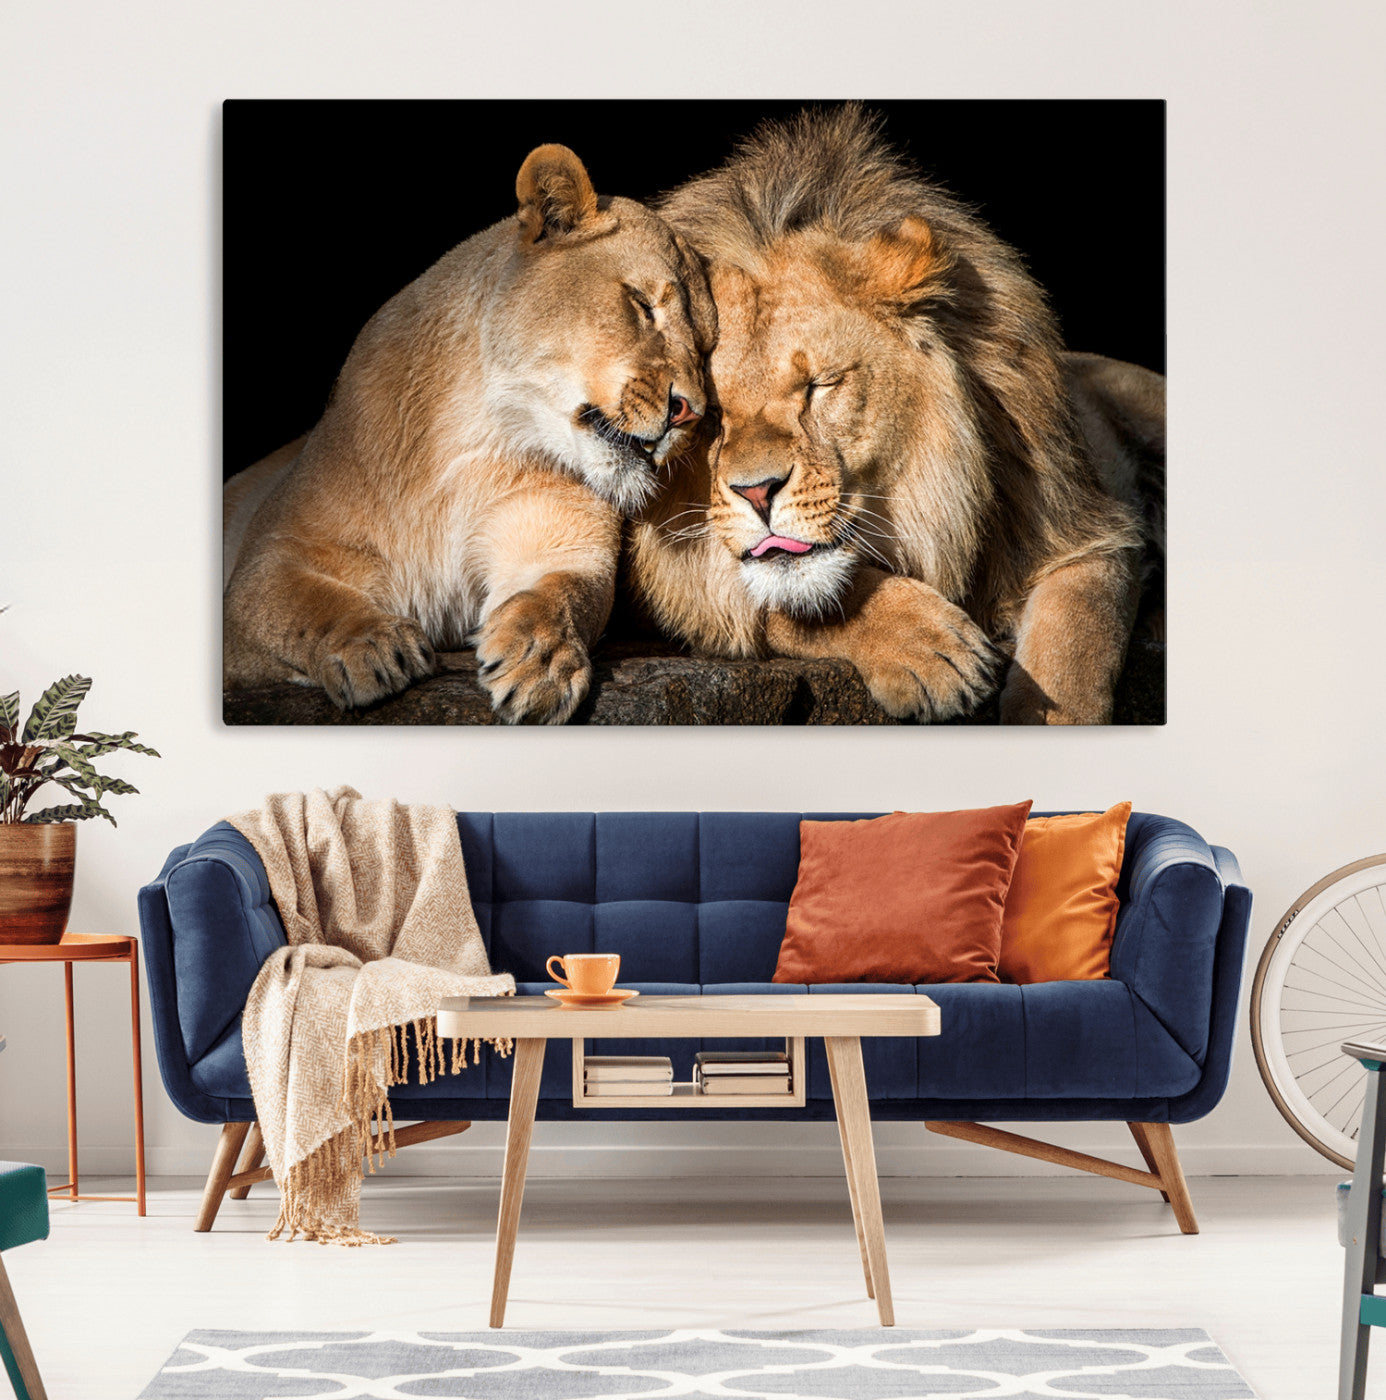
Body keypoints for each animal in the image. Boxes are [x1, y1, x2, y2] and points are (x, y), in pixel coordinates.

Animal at [223, 144, 715, 723]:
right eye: (641, 303)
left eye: (707, 348)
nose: (689, 413)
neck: (477, 440)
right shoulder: (269, 561)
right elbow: (302, 604)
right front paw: (370, 645)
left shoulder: (562, 542)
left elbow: (560, 595)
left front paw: (541, 661)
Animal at [626, 107, 1163, 725]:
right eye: (710, 413)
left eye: (820, 385)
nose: (757, 493)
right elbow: (796, 598)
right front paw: (931, 650)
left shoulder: (1087, 526)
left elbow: (1073, 643)